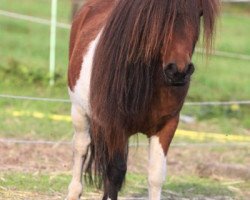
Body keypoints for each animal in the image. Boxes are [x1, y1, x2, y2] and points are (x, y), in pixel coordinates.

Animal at [66, 0, 219, 199]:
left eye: (199, 13)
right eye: (162, 16)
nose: (178, 71)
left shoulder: (167, 125)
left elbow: (155, 175)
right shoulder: (115, 126)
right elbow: (115, 173)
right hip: (79, 111)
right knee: (81, 147)